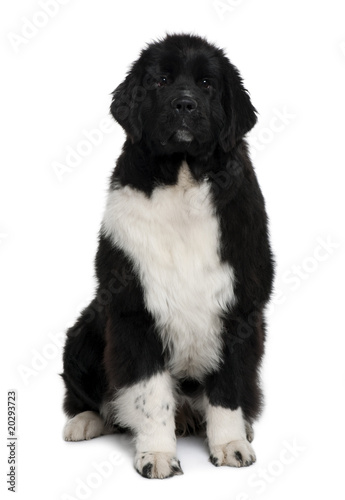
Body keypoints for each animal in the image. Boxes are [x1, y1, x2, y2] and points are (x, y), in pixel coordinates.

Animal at [60, 33, 272, 478]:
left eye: (207, 83)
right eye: (160, 80)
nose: (185, 104)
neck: (183, 178)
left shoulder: (240, 308)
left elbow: (228, 387)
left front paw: (230, 445)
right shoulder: (133, 310)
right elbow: (150, 394)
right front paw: (157, 455)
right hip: (84, 330)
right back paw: (85, 421)